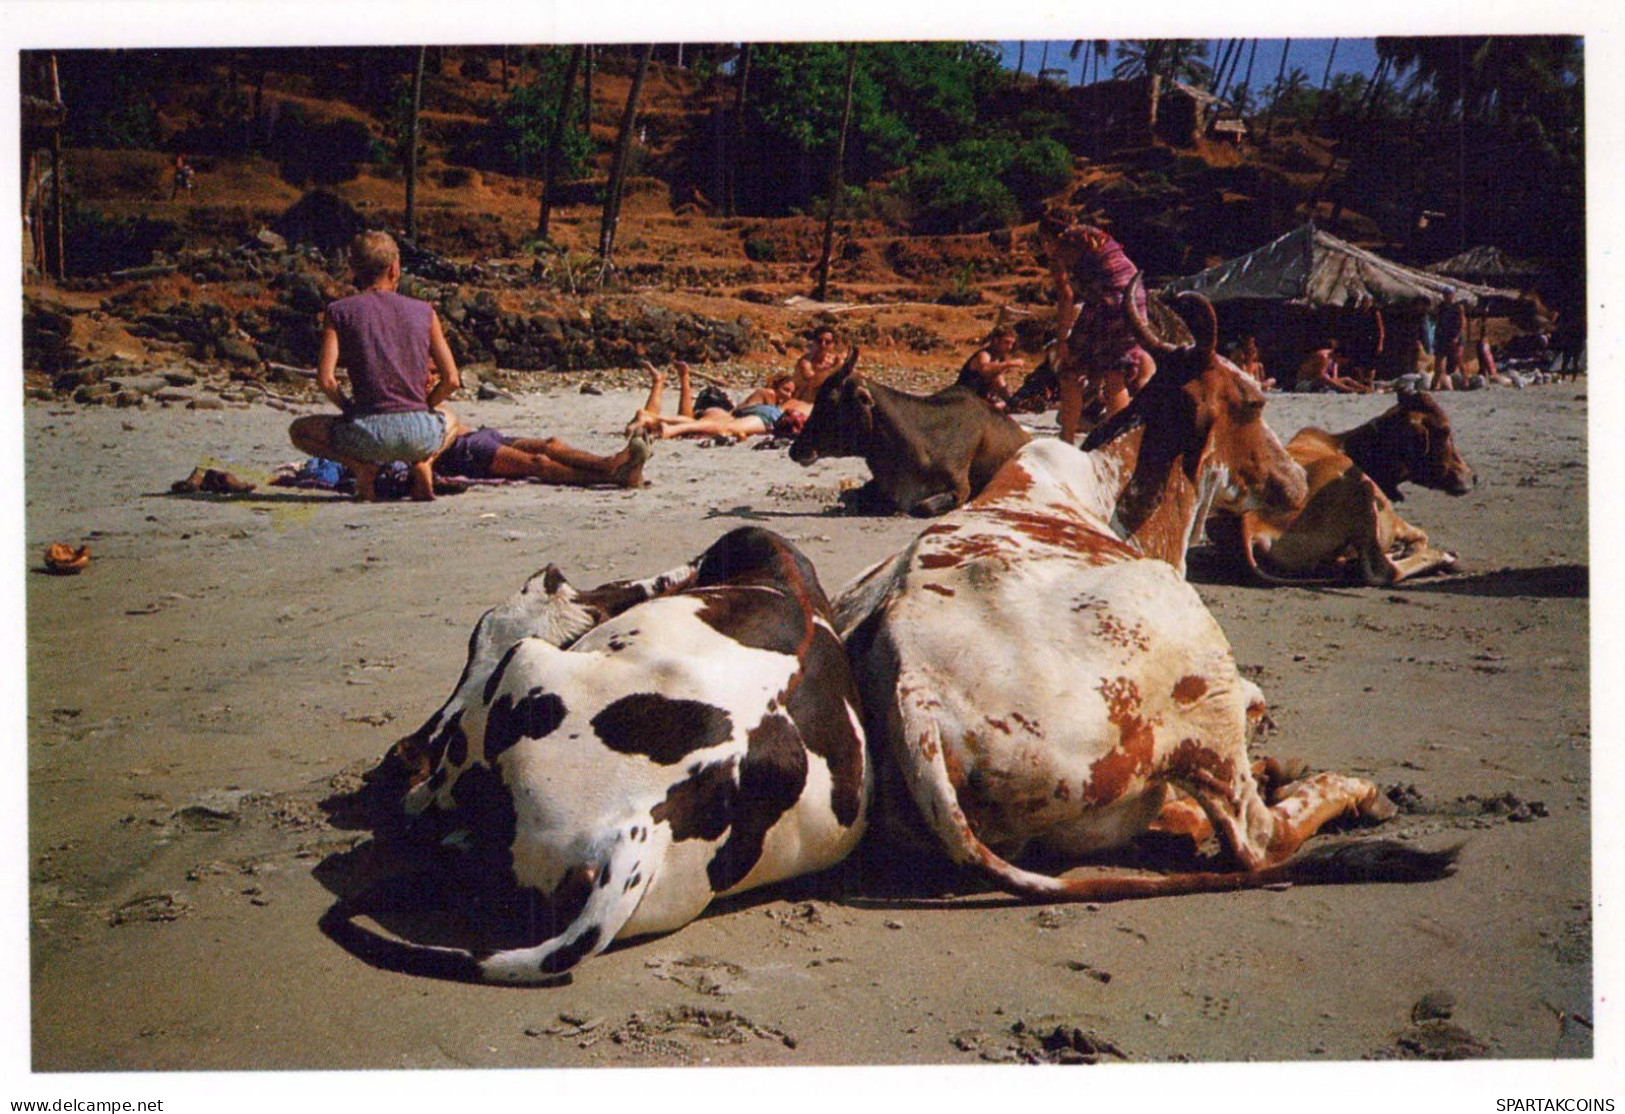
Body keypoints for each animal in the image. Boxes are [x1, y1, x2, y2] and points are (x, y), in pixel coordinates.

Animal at [1215, 391, 1482, 587]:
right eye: (1446, 433)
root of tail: (1248, 522)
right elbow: (1419, 536)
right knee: (1383, 570)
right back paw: (1442, 558)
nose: (1473, 476)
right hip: (1360, 485)